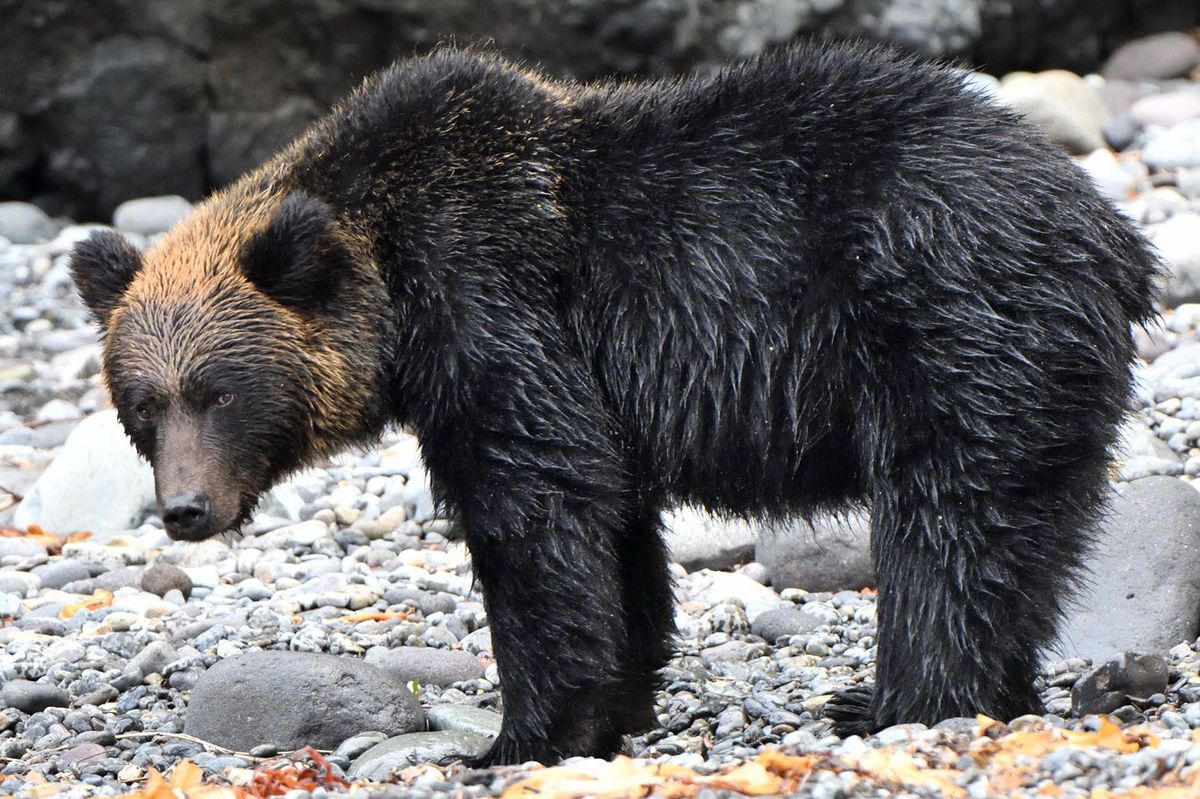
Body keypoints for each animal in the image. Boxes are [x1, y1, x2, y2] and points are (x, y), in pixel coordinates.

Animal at [68, 40, 1161, 763]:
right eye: (141, 404)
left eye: (218, 390)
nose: (186, 508)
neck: (391, 282)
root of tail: (1111, 236)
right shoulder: (579, 383)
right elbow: (615, 527)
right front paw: (620, 701)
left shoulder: (495, 307)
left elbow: (539, 512)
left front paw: (519, 734)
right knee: (1028, 526)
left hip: (952, 321)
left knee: (949, 524)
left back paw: (897, 700)